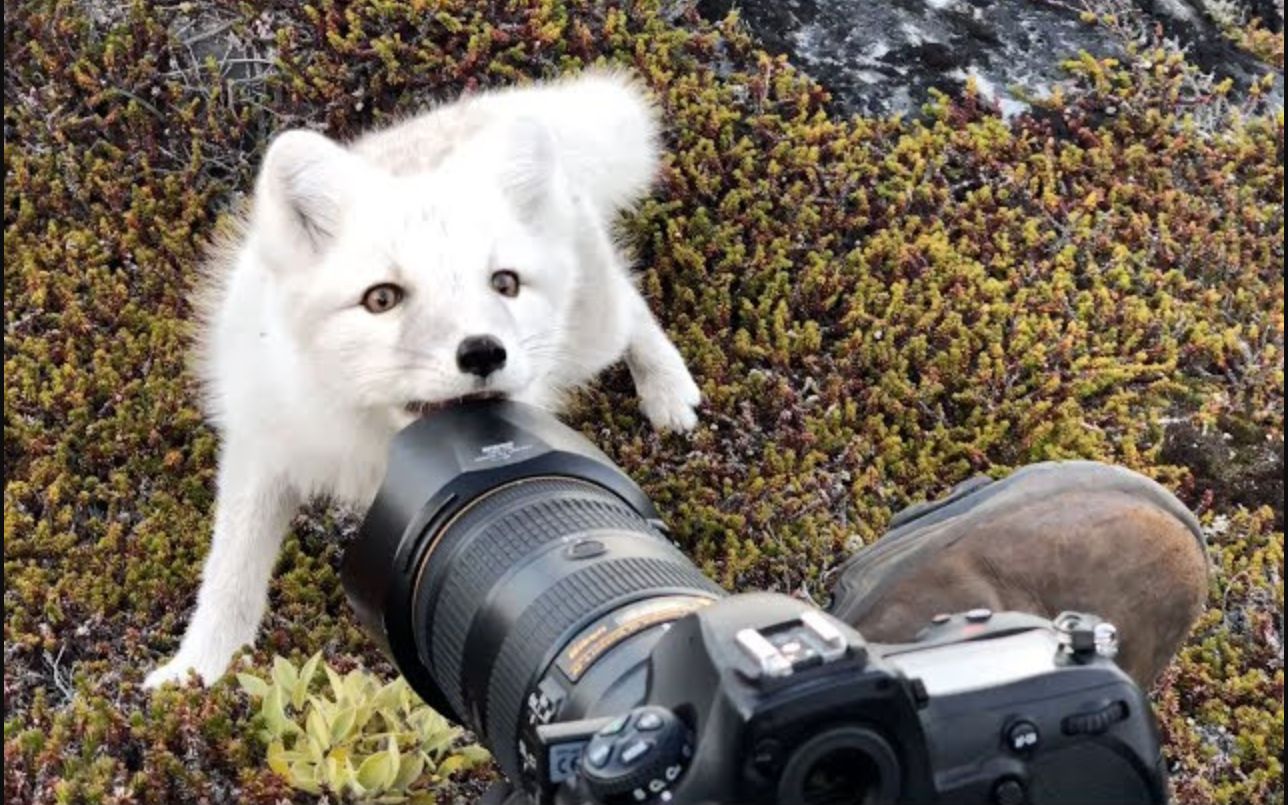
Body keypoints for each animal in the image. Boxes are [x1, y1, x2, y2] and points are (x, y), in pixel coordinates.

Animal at [144, 68, 700, 685]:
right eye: (382, 298)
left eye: (504, 283)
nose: (483, 352)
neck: (372, 434)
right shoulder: (262, 452)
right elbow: (230, 577)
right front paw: (196, 675)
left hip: (592, 336)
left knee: (631, 301)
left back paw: (667, 390)